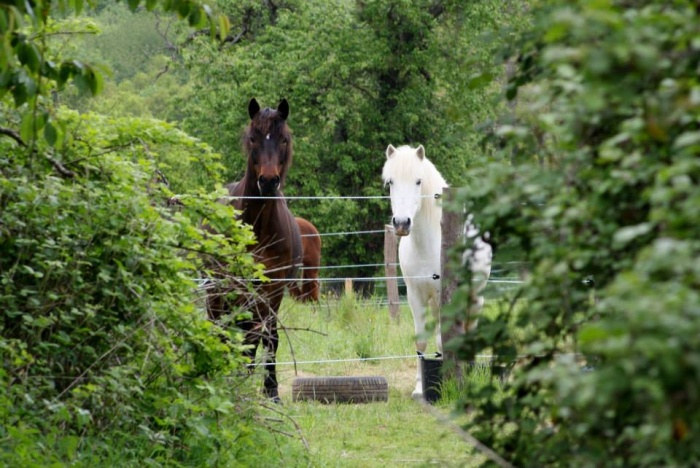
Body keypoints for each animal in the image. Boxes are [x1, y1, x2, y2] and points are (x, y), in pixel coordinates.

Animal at [204, 98, 300, 402]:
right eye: (253, 138)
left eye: (283, 139)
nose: (268, 182)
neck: (259, 228)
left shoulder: (273, 291)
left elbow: (266, 337)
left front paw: (270, 390)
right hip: (217, 293)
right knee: (220, 330)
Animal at [382, 144, 492, 400]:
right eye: (390, 182)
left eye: (418, 181)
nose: (401, 223)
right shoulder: (415, 294)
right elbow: (421, 341)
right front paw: (419, 388)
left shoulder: (446, 296)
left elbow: (443, 341)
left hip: (475, 298)